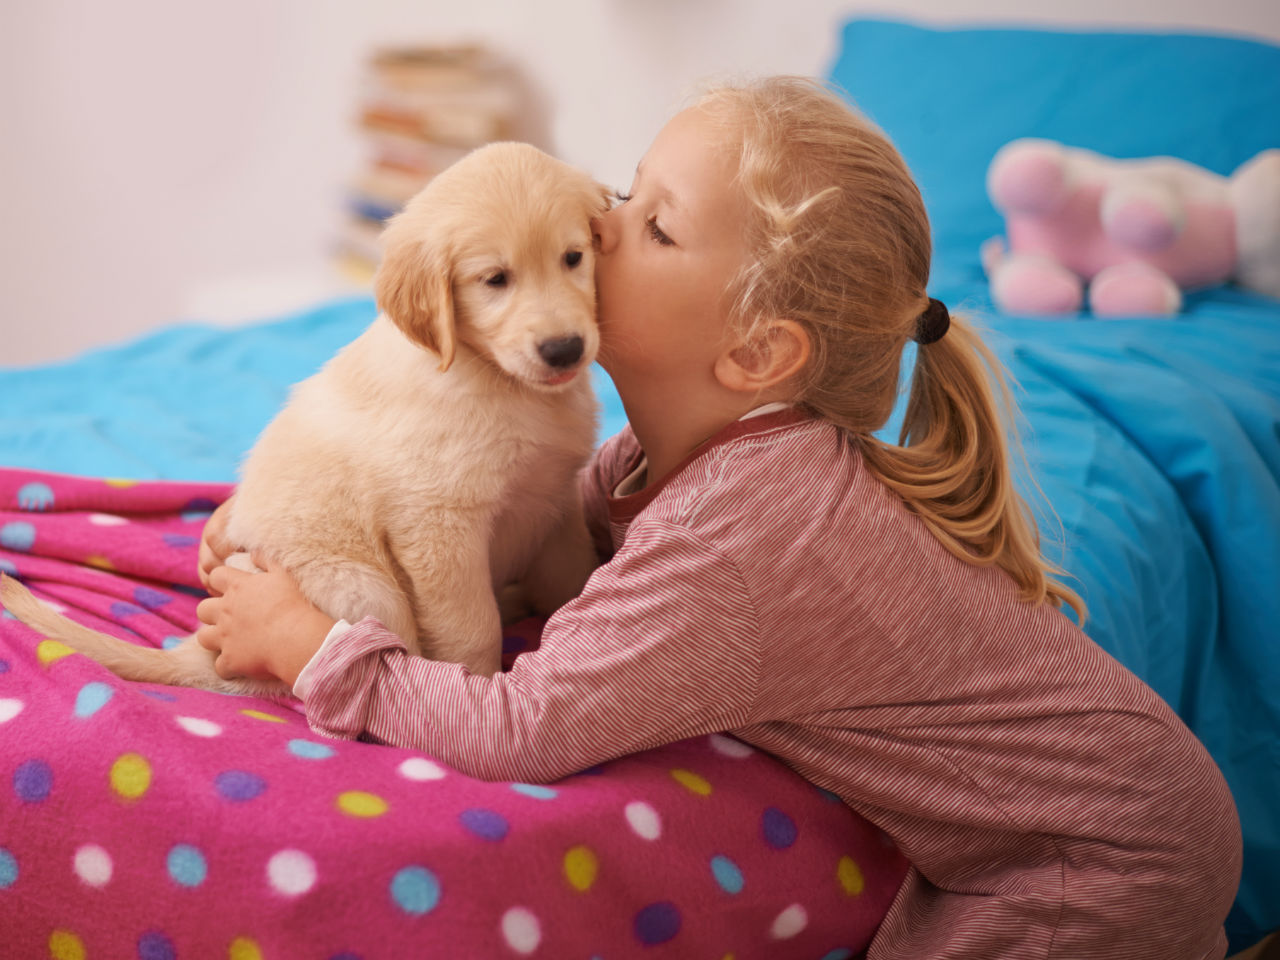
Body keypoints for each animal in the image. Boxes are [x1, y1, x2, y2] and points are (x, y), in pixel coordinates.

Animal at [1, 142, 609, 701]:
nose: (564, 348)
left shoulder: (555, 501)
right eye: (495, 279)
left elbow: (573, 581)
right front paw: (476, 686)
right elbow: (470, 627)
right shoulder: (438, 524)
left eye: (573, 258)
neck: (501, 382)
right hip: (369, 587)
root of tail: (194, 652)